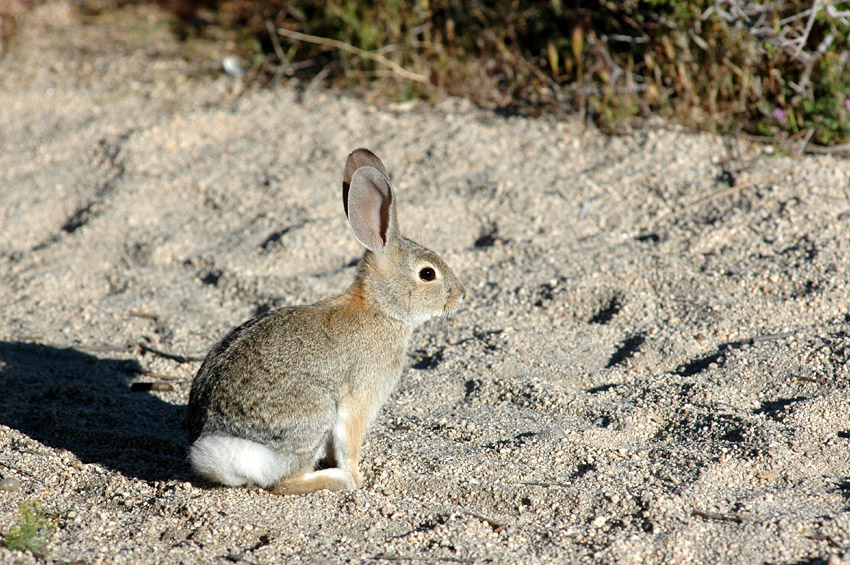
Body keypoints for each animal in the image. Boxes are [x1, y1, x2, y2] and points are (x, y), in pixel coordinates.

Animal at [186, 147, 464, 494]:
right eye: (428, 274)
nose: (461, 296)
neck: (379, 308)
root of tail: (223, 452)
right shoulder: (359, 400)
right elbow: (349, 444)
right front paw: (358, 478)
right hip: (314, 411)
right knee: (285, 482)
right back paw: (338, 479)